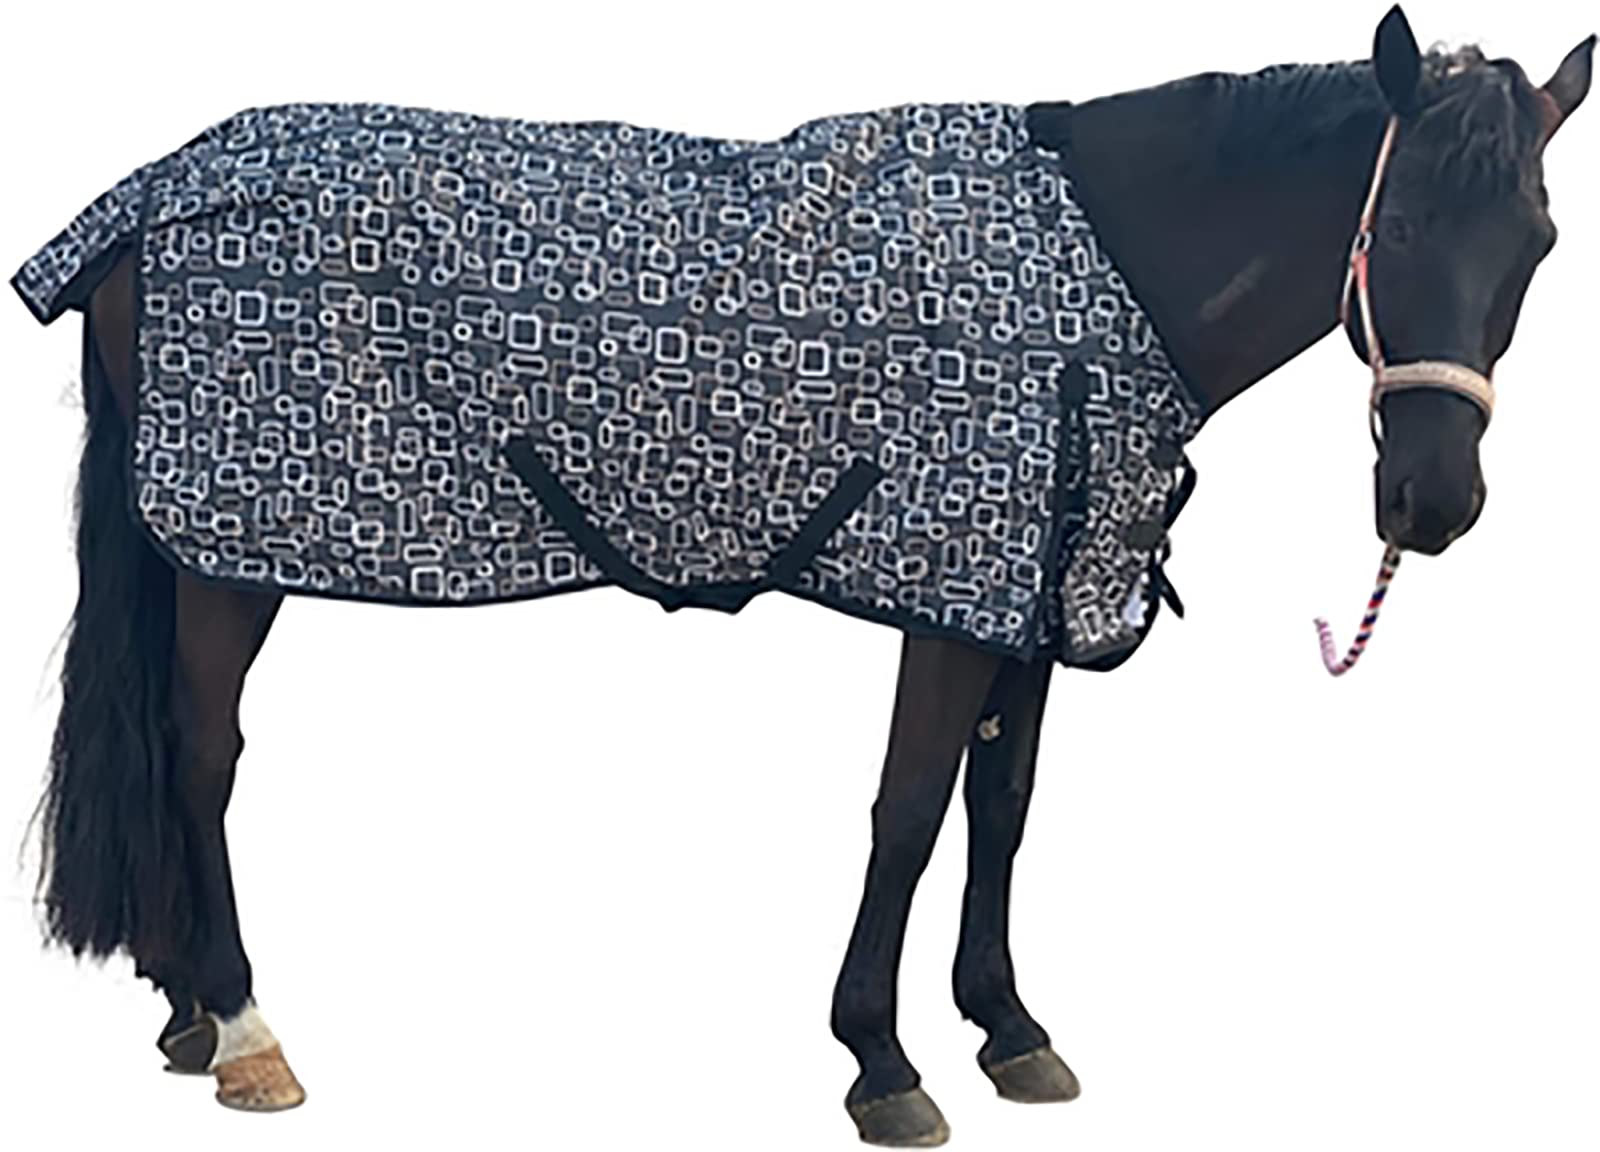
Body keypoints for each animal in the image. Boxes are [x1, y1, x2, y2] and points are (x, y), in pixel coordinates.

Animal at [9, 4, 1591, 1144]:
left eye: (1538, 241)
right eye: (1395, 228)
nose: (1433, 502)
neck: (1097, 275)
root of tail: (143, 201)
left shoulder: (1027, 589)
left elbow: (1004, 811)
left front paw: (1009, 1026)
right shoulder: (948, 591)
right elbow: (910, 811)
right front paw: (882, 1060)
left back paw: (185, 1016)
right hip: (233, 556)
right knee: (201, 753)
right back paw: (246, 1030)